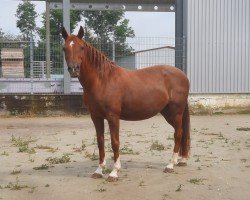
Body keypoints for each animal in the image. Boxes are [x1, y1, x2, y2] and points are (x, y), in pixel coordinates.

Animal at [61, 25, 190, 182]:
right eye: (64, 48)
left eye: (81, 47)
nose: (74, 69)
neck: (102, 80)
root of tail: (182, 75)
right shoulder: (96, 117)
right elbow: (100, 141)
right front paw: (99, 171)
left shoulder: (113, 116)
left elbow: (115, 142)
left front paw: (114, 172)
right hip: (168, 113)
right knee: (181, 132)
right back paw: (180, 160)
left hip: (176, 112)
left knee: (178, 133)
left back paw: (170, 165)